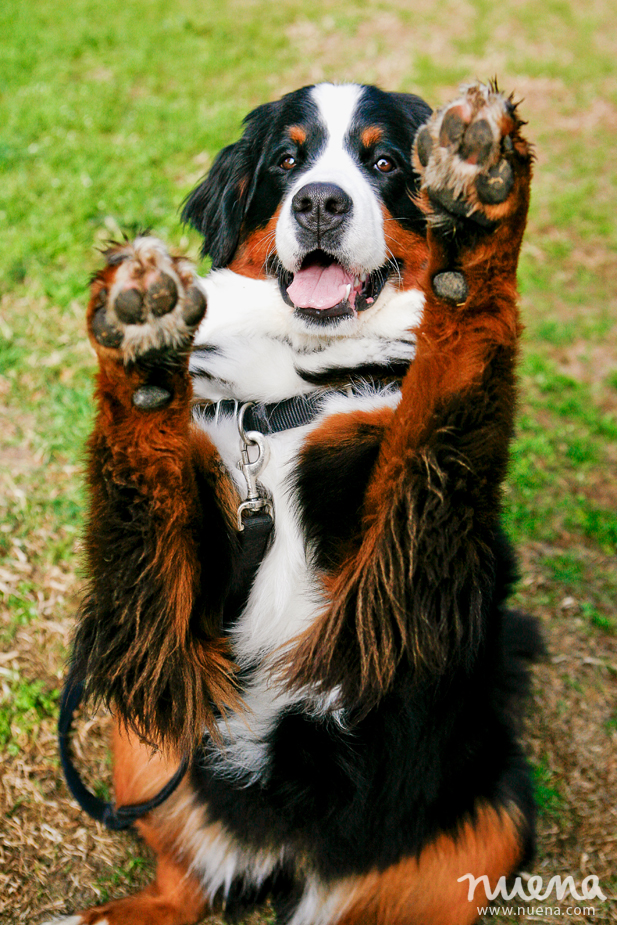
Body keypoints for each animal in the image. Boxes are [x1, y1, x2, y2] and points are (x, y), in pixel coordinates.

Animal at [47, 81, 540, 924]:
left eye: (385, 162)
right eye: (287, 159)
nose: (318, 203)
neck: (295, 388)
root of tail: (276, 849)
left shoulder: (403, 572)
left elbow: (448, 372)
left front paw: (479, 191)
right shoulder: (183, 598)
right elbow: (140, 477)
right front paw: (142, 336)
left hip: (494, 813)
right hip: (148, 733)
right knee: (184, 881)